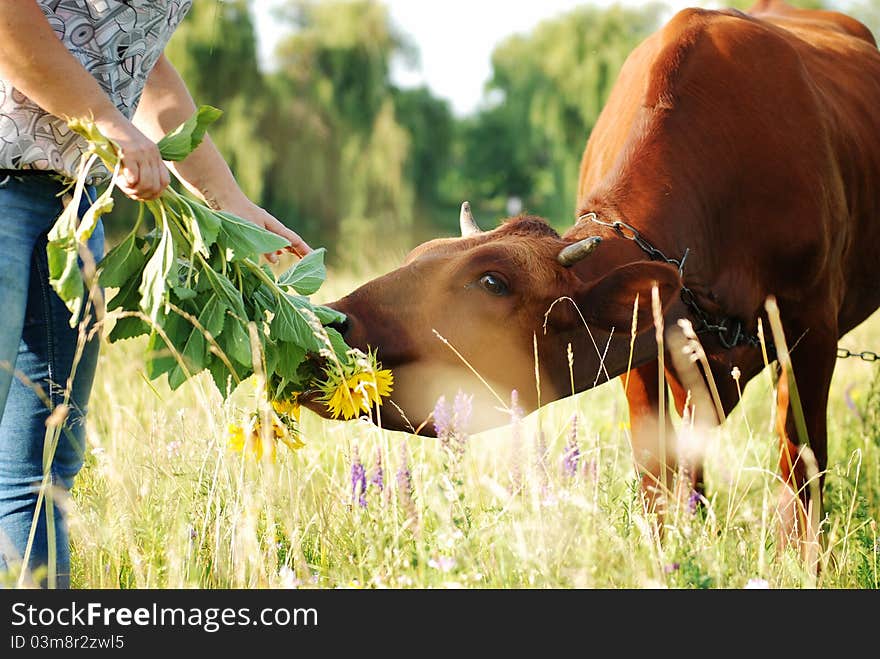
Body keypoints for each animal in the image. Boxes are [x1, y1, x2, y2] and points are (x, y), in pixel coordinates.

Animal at [320, 1, 876, 540]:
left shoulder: (812, 328)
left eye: (493, 281)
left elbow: (801, 466)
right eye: (418, 252)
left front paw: (802, 556)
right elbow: (657, 471)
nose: (338, 322)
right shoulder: (644, 350)